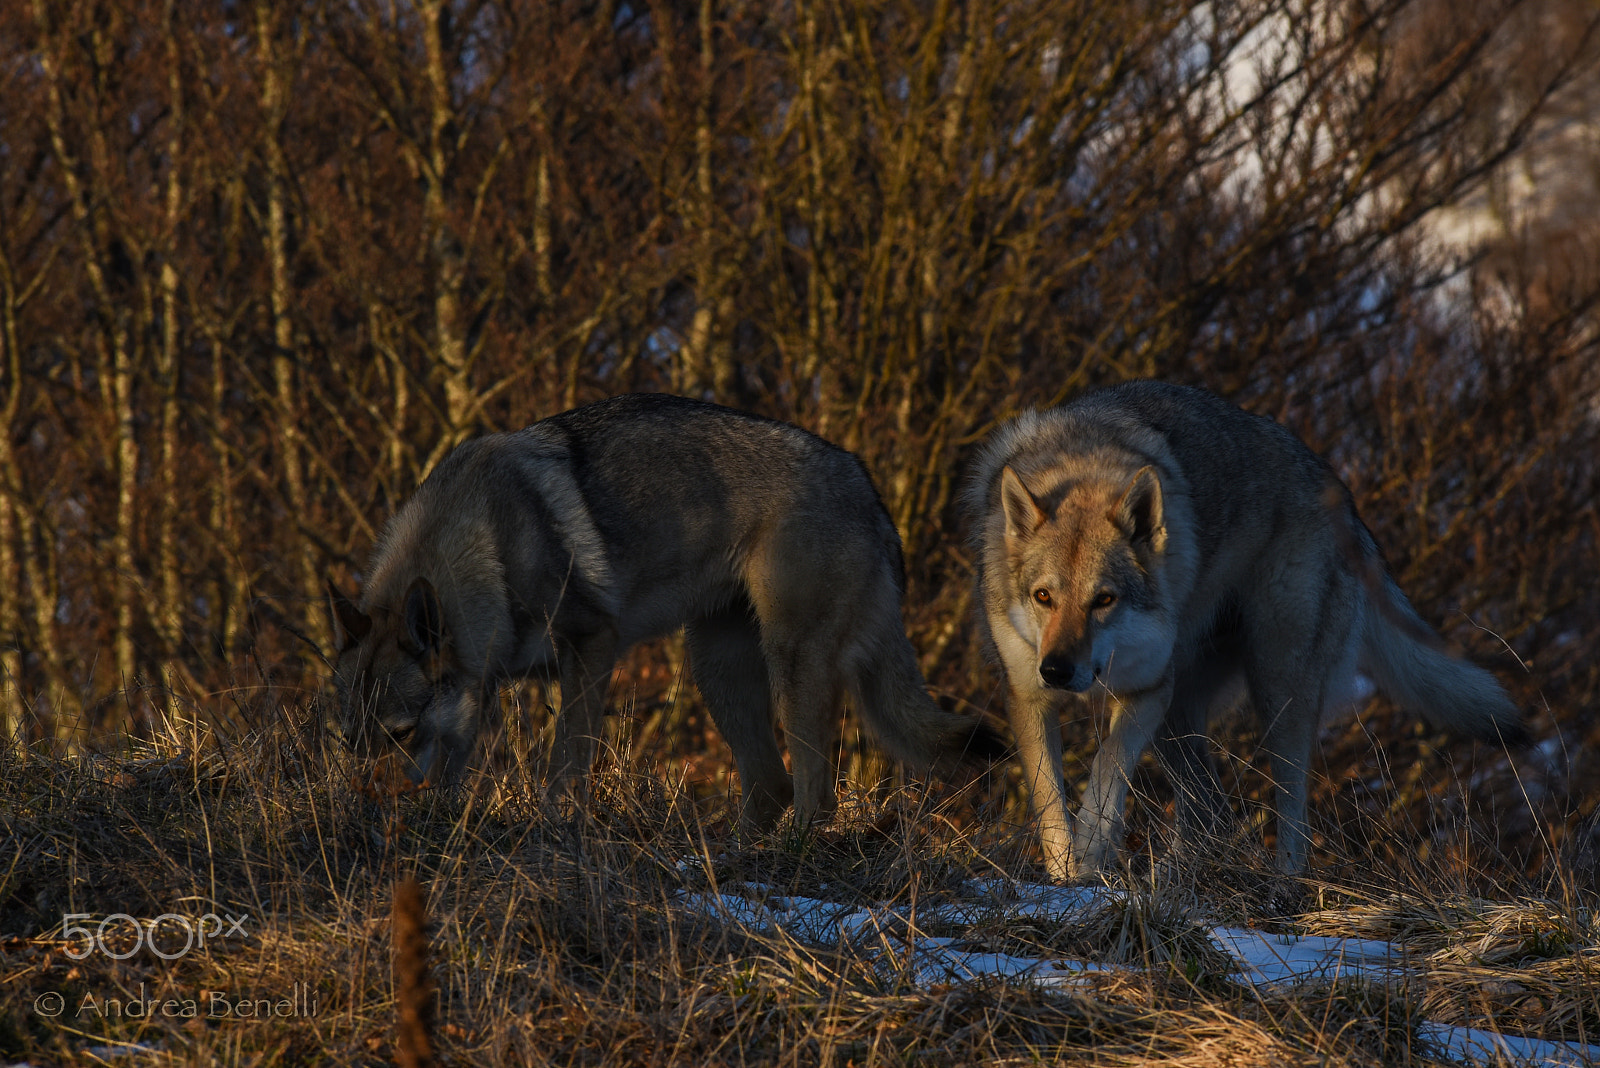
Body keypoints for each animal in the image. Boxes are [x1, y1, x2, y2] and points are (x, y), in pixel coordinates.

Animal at [329, 393, 1002, 830]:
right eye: (349, 738)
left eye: (399, 733)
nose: (367, 810)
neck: (487, 545)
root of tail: (868, 488)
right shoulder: (492, 681)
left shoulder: (591, 646)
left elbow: (566, 761)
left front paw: (556, 828)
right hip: (717, 669)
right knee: (771, 785)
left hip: (792, 666)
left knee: (814, 788)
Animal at [966, 380, 1524, 881]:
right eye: (1043, 597)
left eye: (1103, 600)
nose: (1058, 670)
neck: (1082, 467)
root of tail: (1341, 493)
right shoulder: (1028, 694)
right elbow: (1048, 799)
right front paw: (1066, 874)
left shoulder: (1148, 688)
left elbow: (1107, 766)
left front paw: (1092, 848)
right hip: (1180, 722)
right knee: (1212, 815)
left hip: (1276, 693)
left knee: (1291, 813)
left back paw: (1283, 887)